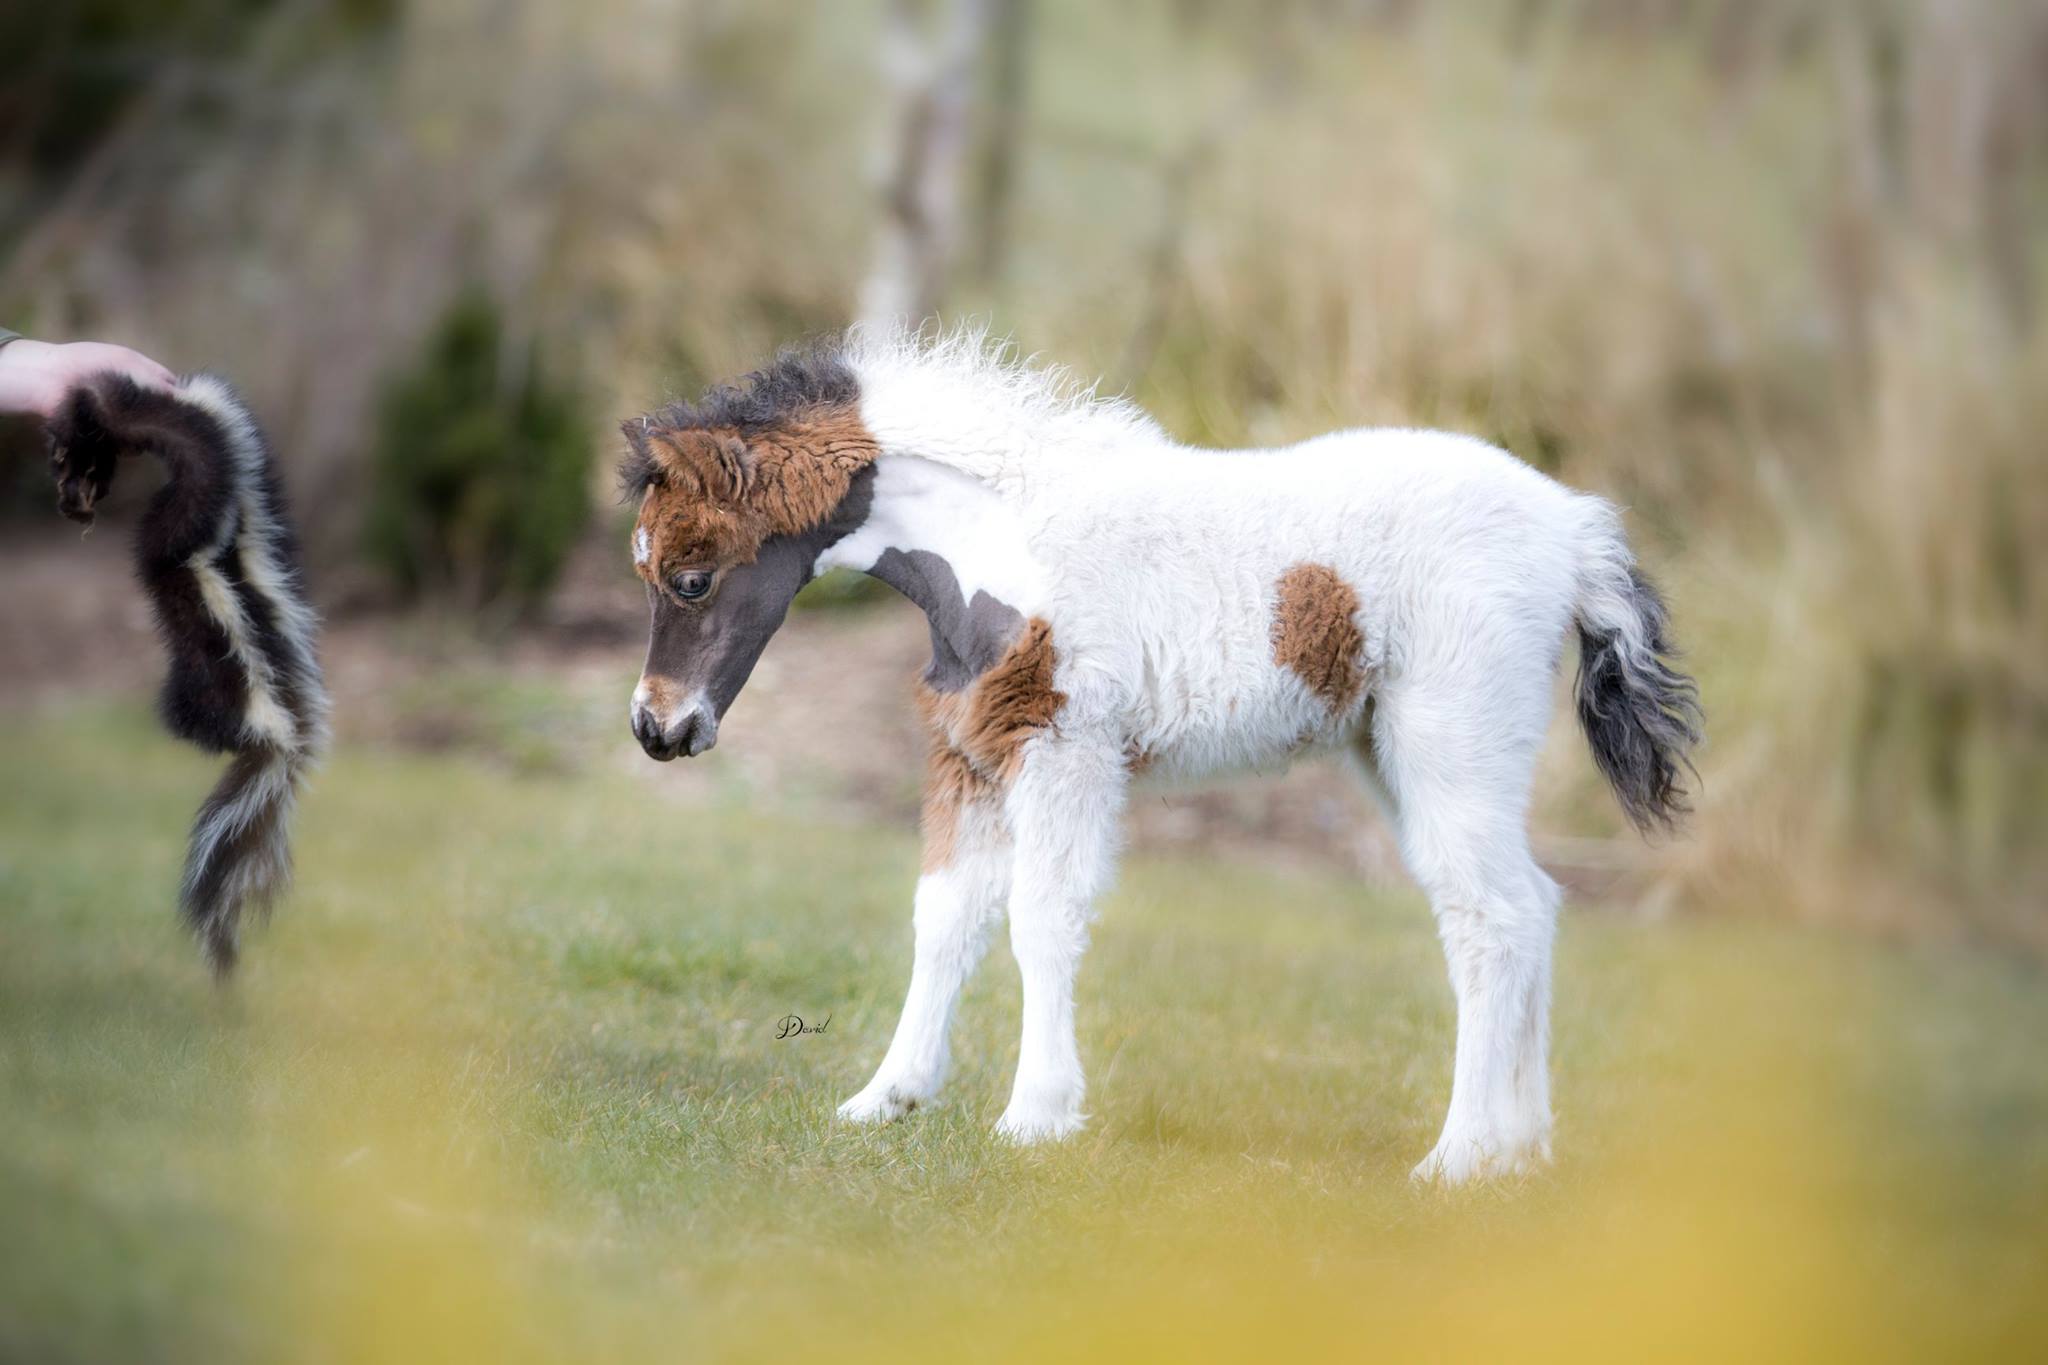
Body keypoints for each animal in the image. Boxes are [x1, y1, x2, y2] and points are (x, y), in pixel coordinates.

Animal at [618, 327, 1700, 1184]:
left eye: (691, 575)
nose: (657, 729)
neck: (1004, 543)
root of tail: (1573, 532)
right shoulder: (970, 757)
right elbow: (945, 921)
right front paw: (885, 1098)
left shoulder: (1066, 750)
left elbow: (1041, 920)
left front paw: (1035, 1116)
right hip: (1394, 751)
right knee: (1534, 904)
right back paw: (1522, 1149)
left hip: (1451, 741)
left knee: (1492, 918)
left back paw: (1460, 1157)